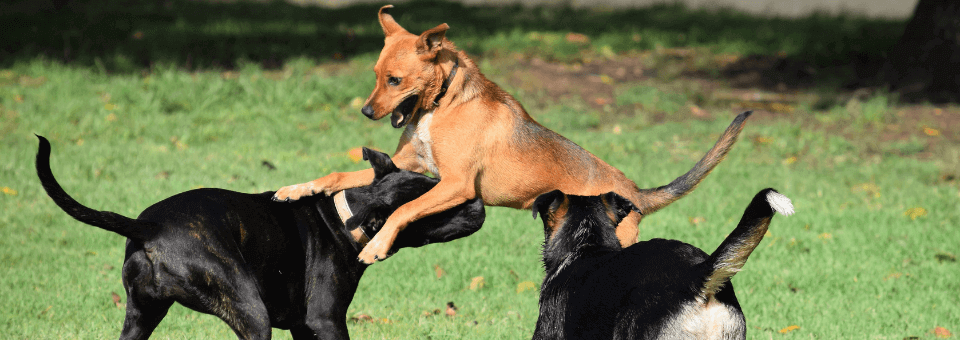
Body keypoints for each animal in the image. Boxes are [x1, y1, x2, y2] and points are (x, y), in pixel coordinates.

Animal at [35, 136, 488, 340]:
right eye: (437, 205)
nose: (479, 201)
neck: (343, 216)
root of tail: (146, 226)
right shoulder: (326, 320)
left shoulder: (304, 327)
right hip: (250, 311)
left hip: (141, 316)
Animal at [274, 5, 752, 266]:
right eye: (375, 75)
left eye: (395, 80)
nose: (366, 111)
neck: (442, 103)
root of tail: (634, 191)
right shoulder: (406, 167)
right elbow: (336, 176)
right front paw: (298, 188)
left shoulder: (455, 185)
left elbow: (401, 211)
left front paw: (375, 247)